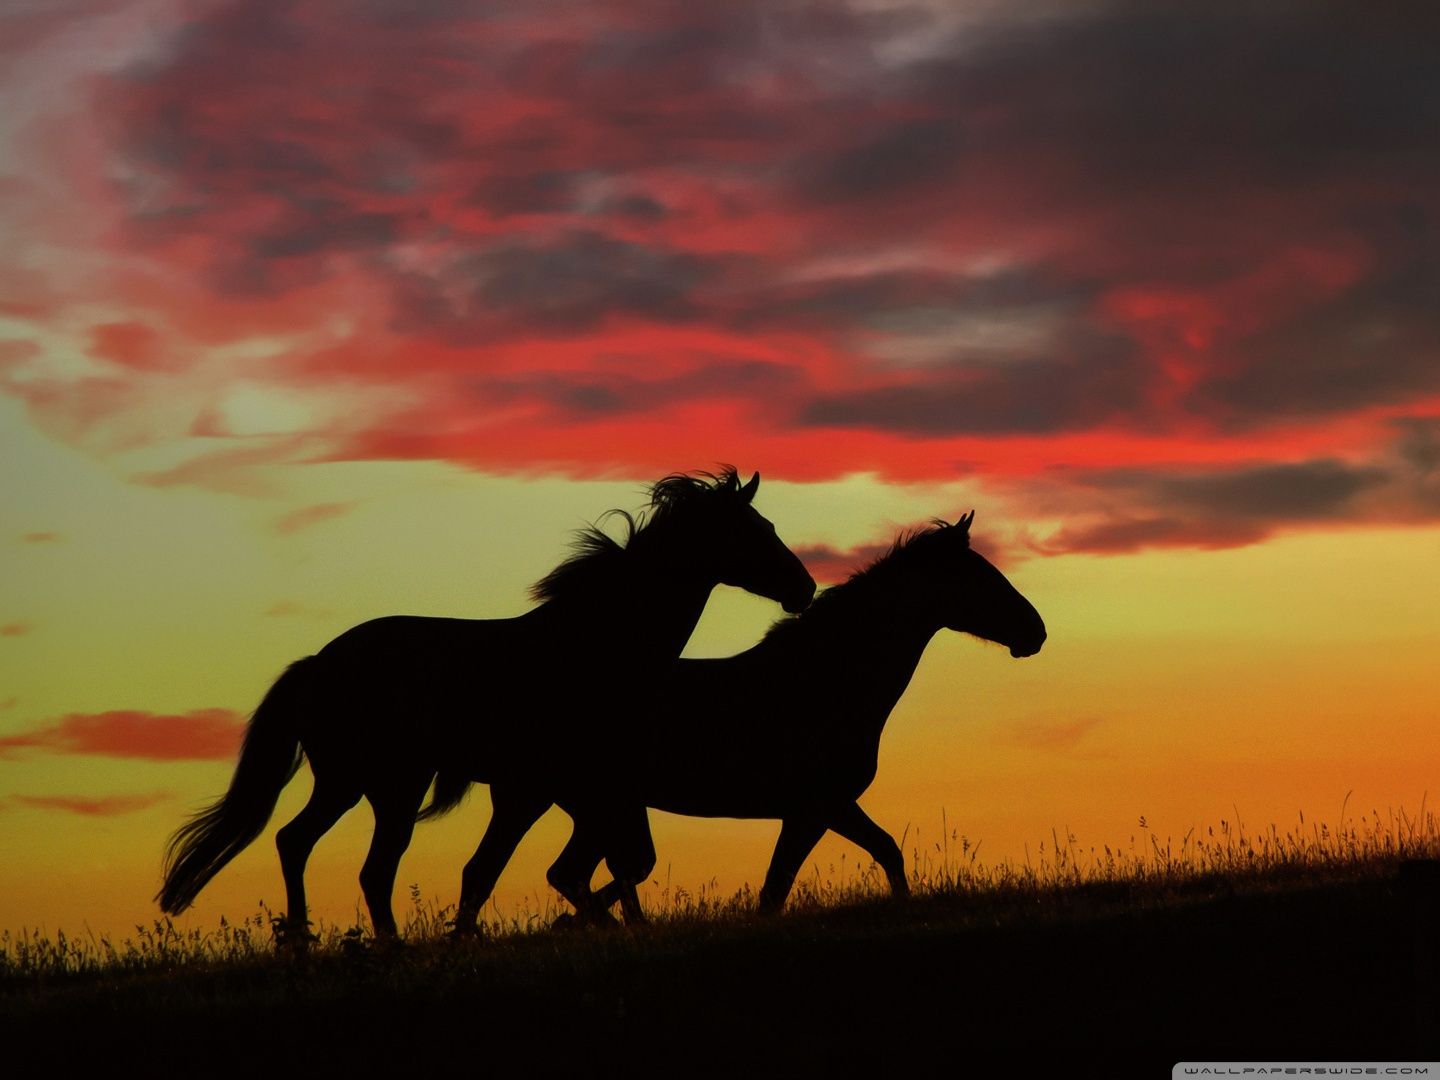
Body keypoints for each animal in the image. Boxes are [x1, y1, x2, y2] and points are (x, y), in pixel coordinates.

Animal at [157, 469, 816, 940]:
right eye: (757, 530)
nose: (804, 588)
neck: (592, 648)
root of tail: (318, 663)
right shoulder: (544, 789)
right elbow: (516, 871)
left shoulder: (567, 791)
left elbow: (565, 868)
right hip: (380, 784)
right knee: (350, 860)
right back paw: (354, 943)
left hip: (362, 784)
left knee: (312, 848)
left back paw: (315, 941)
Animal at [445, 511, 1045, 930]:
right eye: (981, 578)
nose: (1035, 632)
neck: (825, 681)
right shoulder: (813, 808)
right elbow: (776, 891)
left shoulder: (829, 807)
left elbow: (884, 853)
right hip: (549, 801)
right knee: (532, 873)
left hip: (588, 808)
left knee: (565, 873)